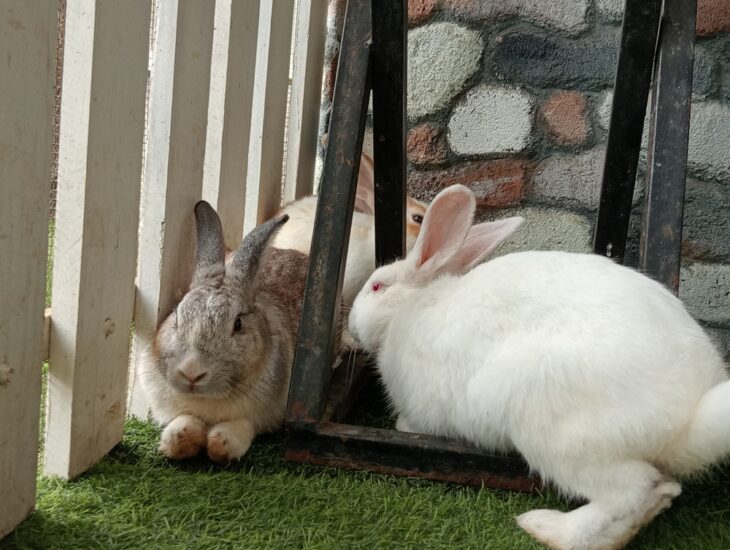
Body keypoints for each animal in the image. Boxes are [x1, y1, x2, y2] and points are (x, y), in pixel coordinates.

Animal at [138, 201, 309, 463]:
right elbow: (182, 422)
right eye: (177, 314)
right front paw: (179, 441)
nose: (191, 372)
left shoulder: (263, 413)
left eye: (238, 324)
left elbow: (240, 428)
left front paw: (220, 445)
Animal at [348, 184, 730, 550]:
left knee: (639, 493)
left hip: (562, 437)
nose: (350, 324)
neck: (408, 309)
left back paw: (547, 528)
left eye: (377, 286)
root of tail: (687, 419)